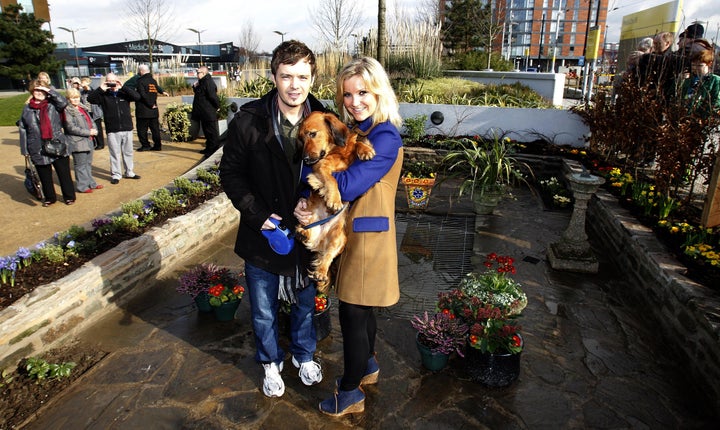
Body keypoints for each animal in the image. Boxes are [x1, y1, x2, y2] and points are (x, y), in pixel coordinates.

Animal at [296, 111, 376, 292]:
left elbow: (356, 143)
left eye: (312, 134)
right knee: (306, 234)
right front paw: (334, 198)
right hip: (310, 221)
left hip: (339, 239)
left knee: (328, 256)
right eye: (301, 139)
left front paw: (366, 149)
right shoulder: (321, 167)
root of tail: (320, 241)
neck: (335, 149)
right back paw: (303, 233)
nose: (305, 159)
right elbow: (331, 180)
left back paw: (321, 271)